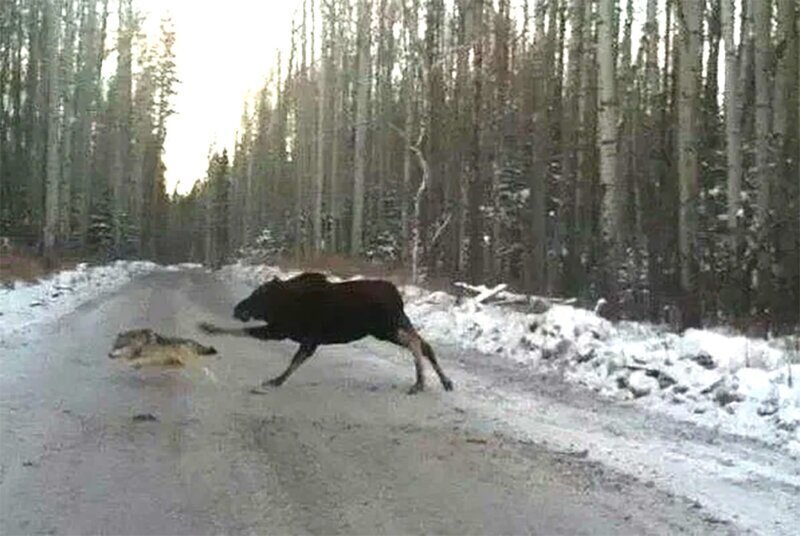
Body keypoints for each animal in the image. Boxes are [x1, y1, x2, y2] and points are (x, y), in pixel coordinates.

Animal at [198, 272, 454, 394]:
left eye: (259, 294)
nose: (237, 308)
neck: (281, 304)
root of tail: (397, 296)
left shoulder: (284, 331)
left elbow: (246, 333)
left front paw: (209, 327)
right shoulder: (306, 339)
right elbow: (295, 361)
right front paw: (277, 380)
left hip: (384, 328)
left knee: (415, 343)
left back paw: (420, 382)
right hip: (396, 324)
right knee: (425, 344)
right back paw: (444, 381)